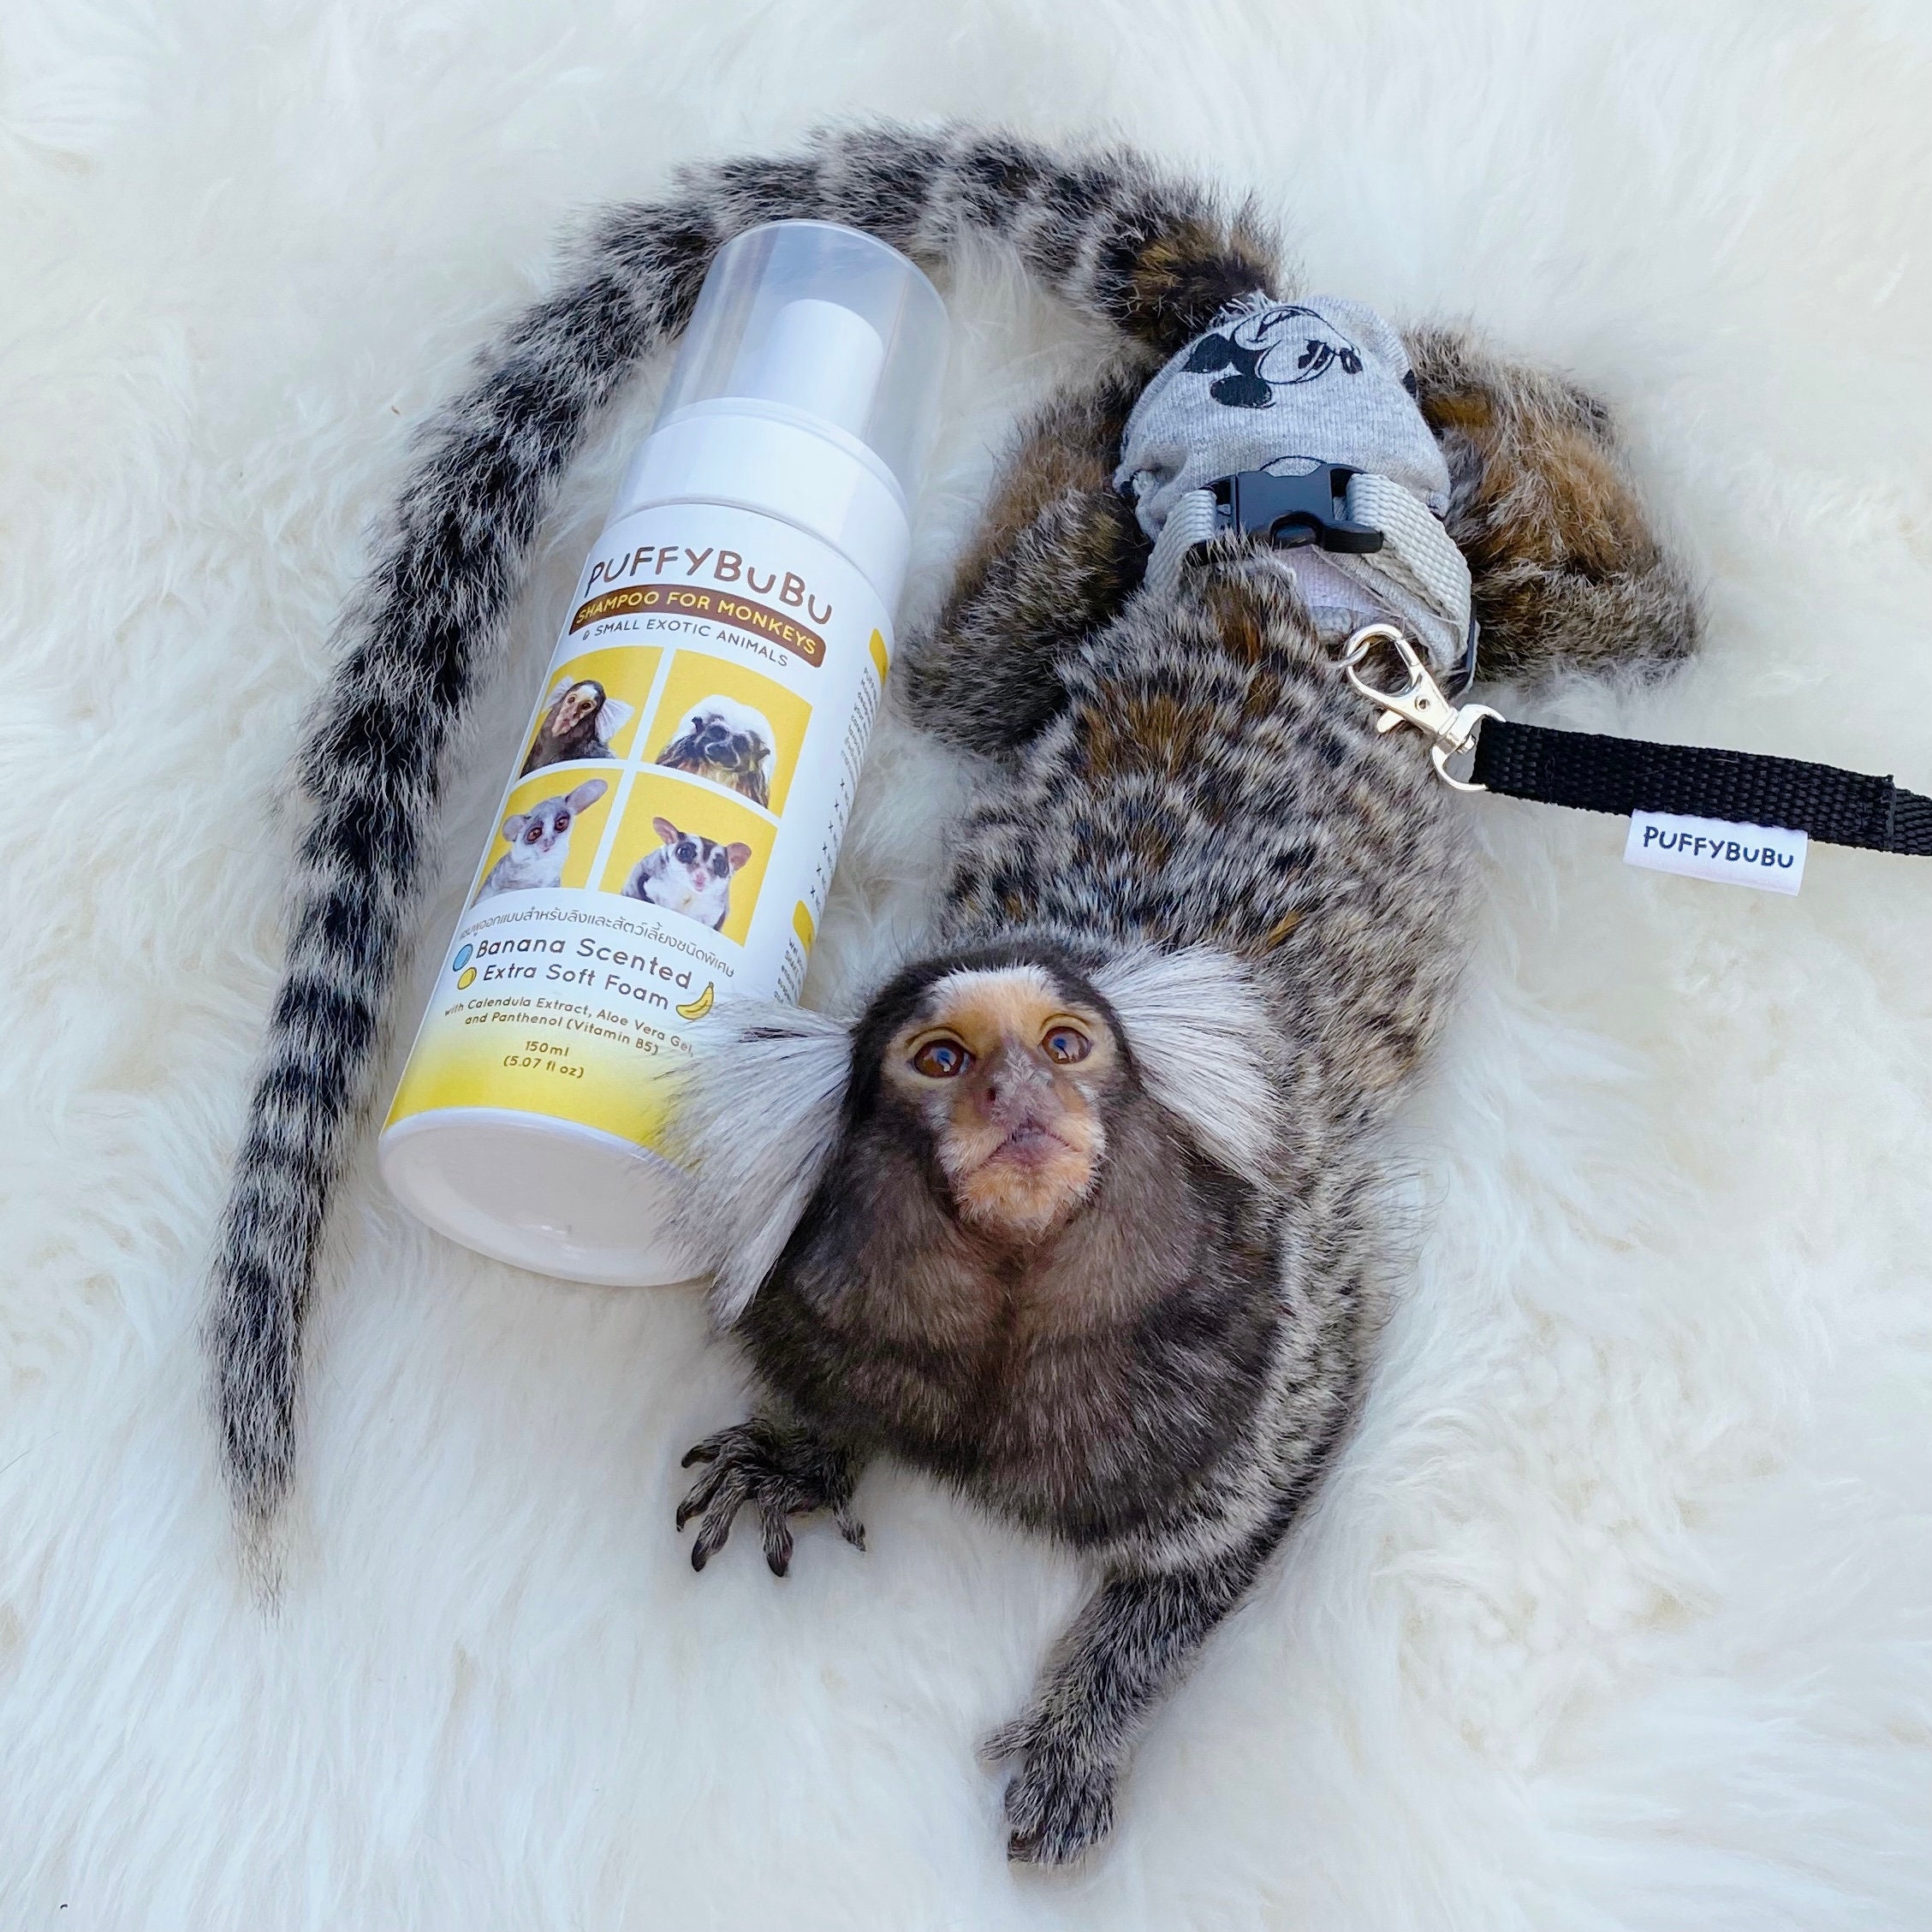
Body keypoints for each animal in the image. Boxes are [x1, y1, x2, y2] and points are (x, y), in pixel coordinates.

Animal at [474, 778, 606, 898]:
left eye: (561, 823)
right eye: (534, 834)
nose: (548, 842)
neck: (543, 861)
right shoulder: (504, 876)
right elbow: (507, 884)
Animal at [621, 816, 751, 930]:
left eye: (721, 866)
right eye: (684, 852)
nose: (701, 875)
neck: (688, 892)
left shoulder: (715, 911)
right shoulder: (649, 879)